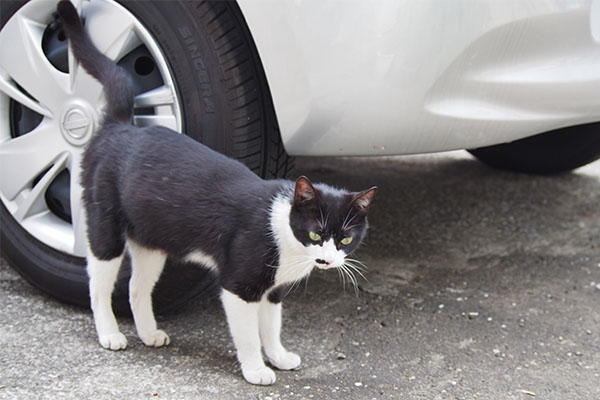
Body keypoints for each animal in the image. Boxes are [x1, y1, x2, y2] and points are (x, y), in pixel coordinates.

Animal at [56, 0, 376, 388]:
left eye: (345, 239)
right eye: (315, 233)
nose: (328, 260)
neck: (286, 241)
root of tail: (120, 126)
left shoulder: (272, 289)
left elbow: (271, 325)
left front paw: (279, 356)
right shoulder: (239, 283)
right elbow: (249, 334)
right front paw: (256, 369)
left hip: (150, 239)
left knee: (136, 286)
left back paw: (149, 333)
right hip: (105, 222)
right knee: (99, 282)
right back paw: (109, 333)